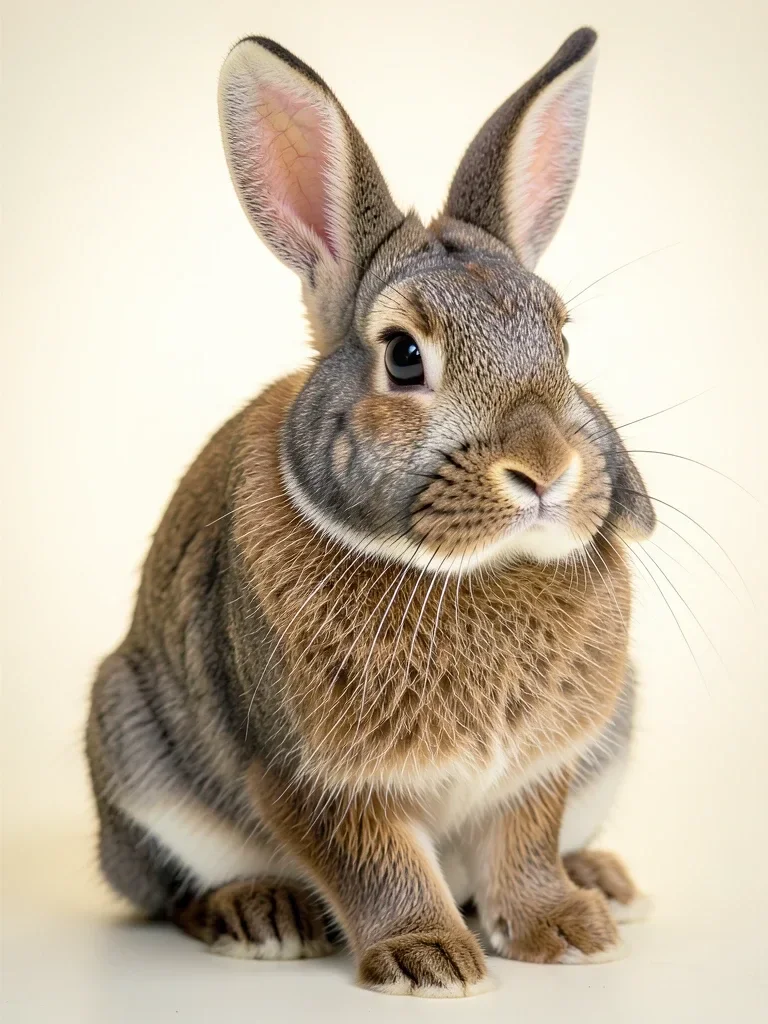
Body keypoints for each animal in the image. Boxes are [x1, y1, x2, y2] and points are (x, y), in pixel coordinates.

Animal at [86, 27, 656, 997]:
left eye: (560, 338)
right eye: (402, 356)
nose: (546, 469)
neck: (471, 570)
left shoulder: (542, 767)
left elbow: (525, 846)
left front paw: (567, 931)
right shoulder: (317, 777)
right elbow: (375, 863)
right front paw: (430, 961)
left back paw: (604, 882)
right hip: (134, 750)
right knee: (168, 894)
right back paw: (260, 915)